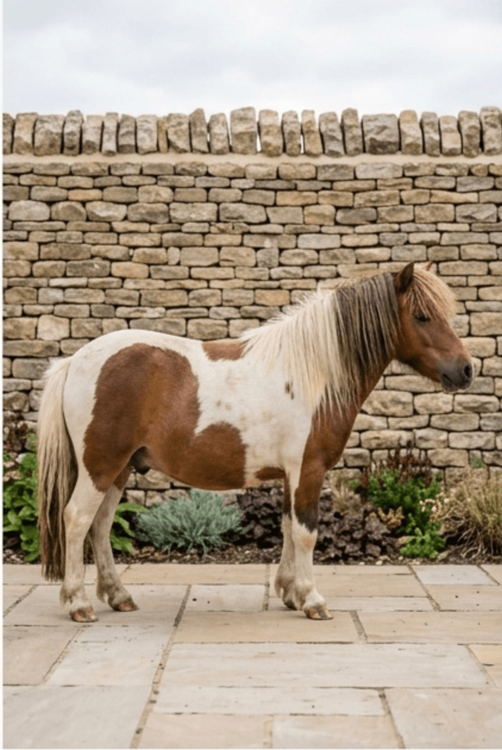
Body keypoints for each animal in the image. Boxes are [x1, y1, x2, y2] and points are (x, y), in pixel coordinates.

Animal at [37, 262, 473, 622]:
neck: (313, 373)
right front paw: (312, 599)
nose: (466, 370)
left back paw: (118, 596)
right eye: (421, 316)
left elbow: (287, 526)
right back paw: (78, 604)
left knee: (100, 525)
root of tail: (74, 361)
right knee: (77, 519)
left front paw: (288, 592)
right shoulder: (308, 470)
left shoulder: (291, 475)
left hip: (120, 468)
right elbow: (306, 531)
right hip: (100, 466)